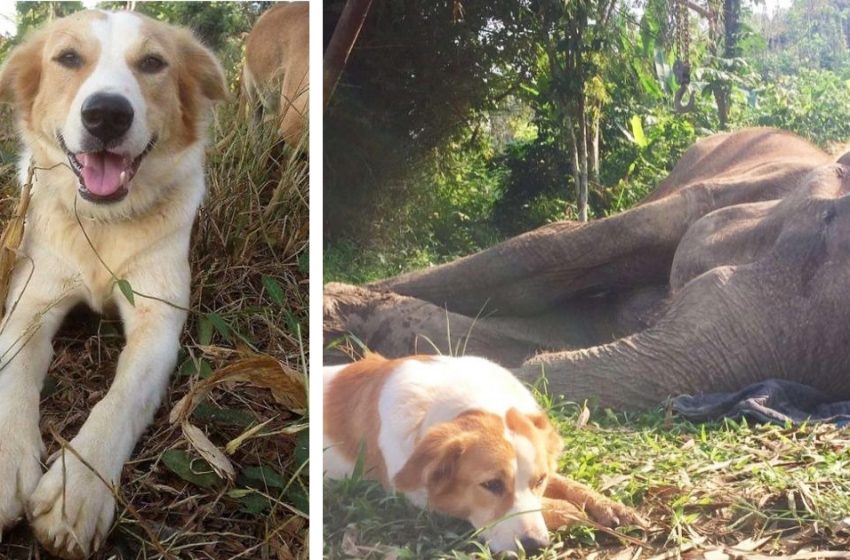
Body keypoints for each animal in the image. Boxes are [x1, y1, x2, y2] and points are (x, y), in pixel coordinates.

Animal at [322, 354, 644, 552]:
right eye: (491, 485)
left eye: (538, 481)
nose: (536, 547)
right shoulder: (422, 498)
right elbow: (561, 506)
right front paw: (573, 512)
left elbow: (566, 483)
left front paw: (609, 505)